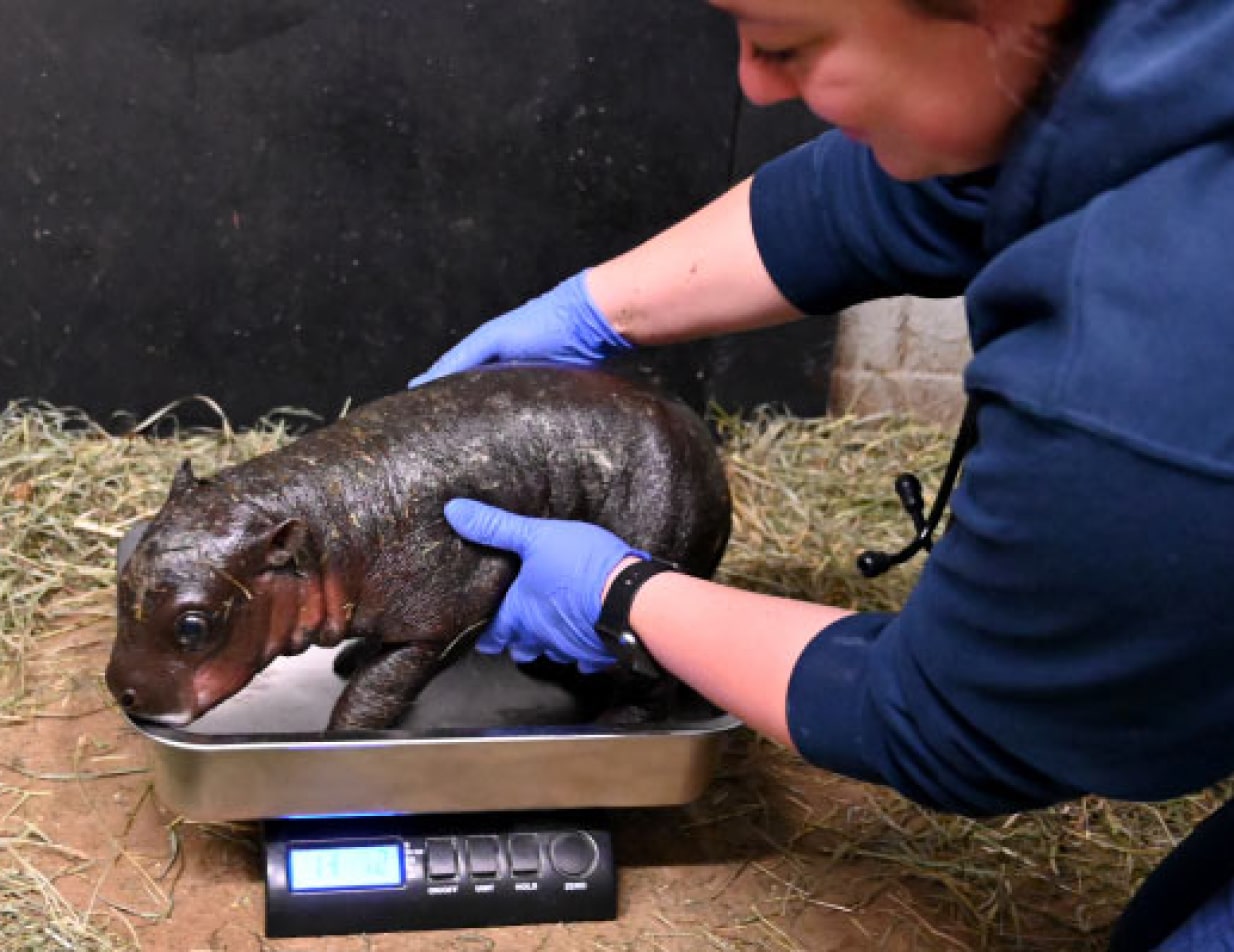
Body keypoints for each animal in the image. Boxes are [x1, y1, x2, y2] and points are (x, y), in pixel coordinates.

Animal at [108, 365, 730, 730]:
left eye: (193, 625)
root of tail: (705, 444)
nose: (122, 692)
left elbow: (383, 684)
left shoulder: (450, 607)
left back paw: (623, 720)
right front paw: (349, 658)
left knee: (655, 674)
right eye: (122, 582)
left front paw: (342, 732)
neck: (330, 524)